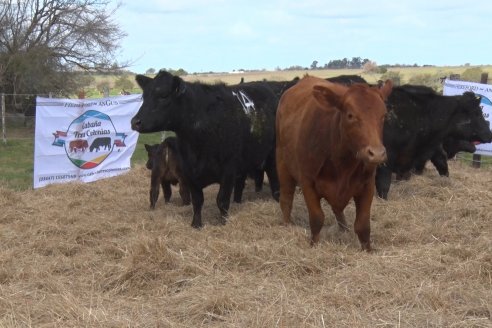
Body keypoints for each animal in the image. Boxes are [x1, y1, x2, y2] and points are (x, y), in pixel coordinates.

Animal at [131, 70, 278, 227]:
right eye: (144, 97)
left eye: (163, 96)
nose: (135, 122)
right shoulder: (189, 173)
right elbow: (197, 201)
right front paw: (196, 224)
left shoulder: (229, 169)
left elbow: (222, 200)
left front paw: (223, 222)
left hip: (272, 154)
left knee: (273, 176)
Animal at [276, 77, 392, 251]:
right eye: (350, 115)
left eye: (383, 115)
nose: (377, 153)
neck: (342, 163)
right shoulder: (307, 182)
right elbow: (317, 218)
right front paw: (314, 245)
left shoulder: (368, 185)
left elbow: (363, 224)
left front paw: (368, 250)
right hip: (282, 164)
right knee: (286, 198)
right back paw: (286, 225)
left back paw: (344, 228)